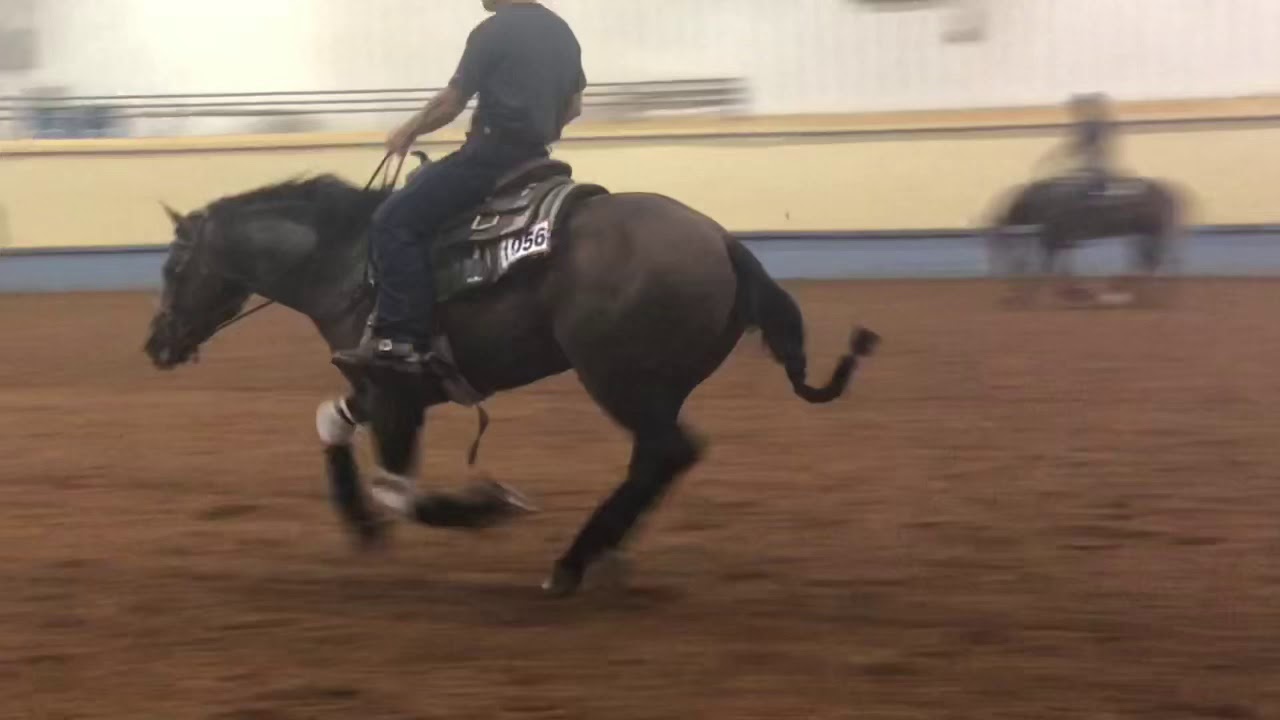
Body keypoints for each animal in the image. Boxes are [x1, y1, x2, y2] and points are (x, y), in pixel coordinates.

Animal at [143, 156, 879, 596]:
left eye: (173, 268)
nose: (155, 345)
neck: (346, 258)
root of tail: (722, 242)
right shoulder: (385, 386)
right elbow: (331, 423)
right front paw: (361, 525)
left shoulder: (398, 395)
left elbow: (398, 488)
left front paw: (485, 505)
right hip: (656, 388)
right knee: (659, 460)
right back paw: (601, 555)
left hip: (618, 379)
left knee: (666, 453)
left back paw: (573, 563)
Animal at [985, 173, 1184, 307]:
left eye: (1002, 241)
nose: (999, 269)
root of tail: (1164, 192)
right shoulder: (1060, 239)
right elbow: (1062, 264)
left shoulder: (1054, 237)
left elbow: (1049, 265)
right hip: (1145, 233)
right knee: (1149, 258)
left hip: (1152, 233)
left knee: (1154, 259)